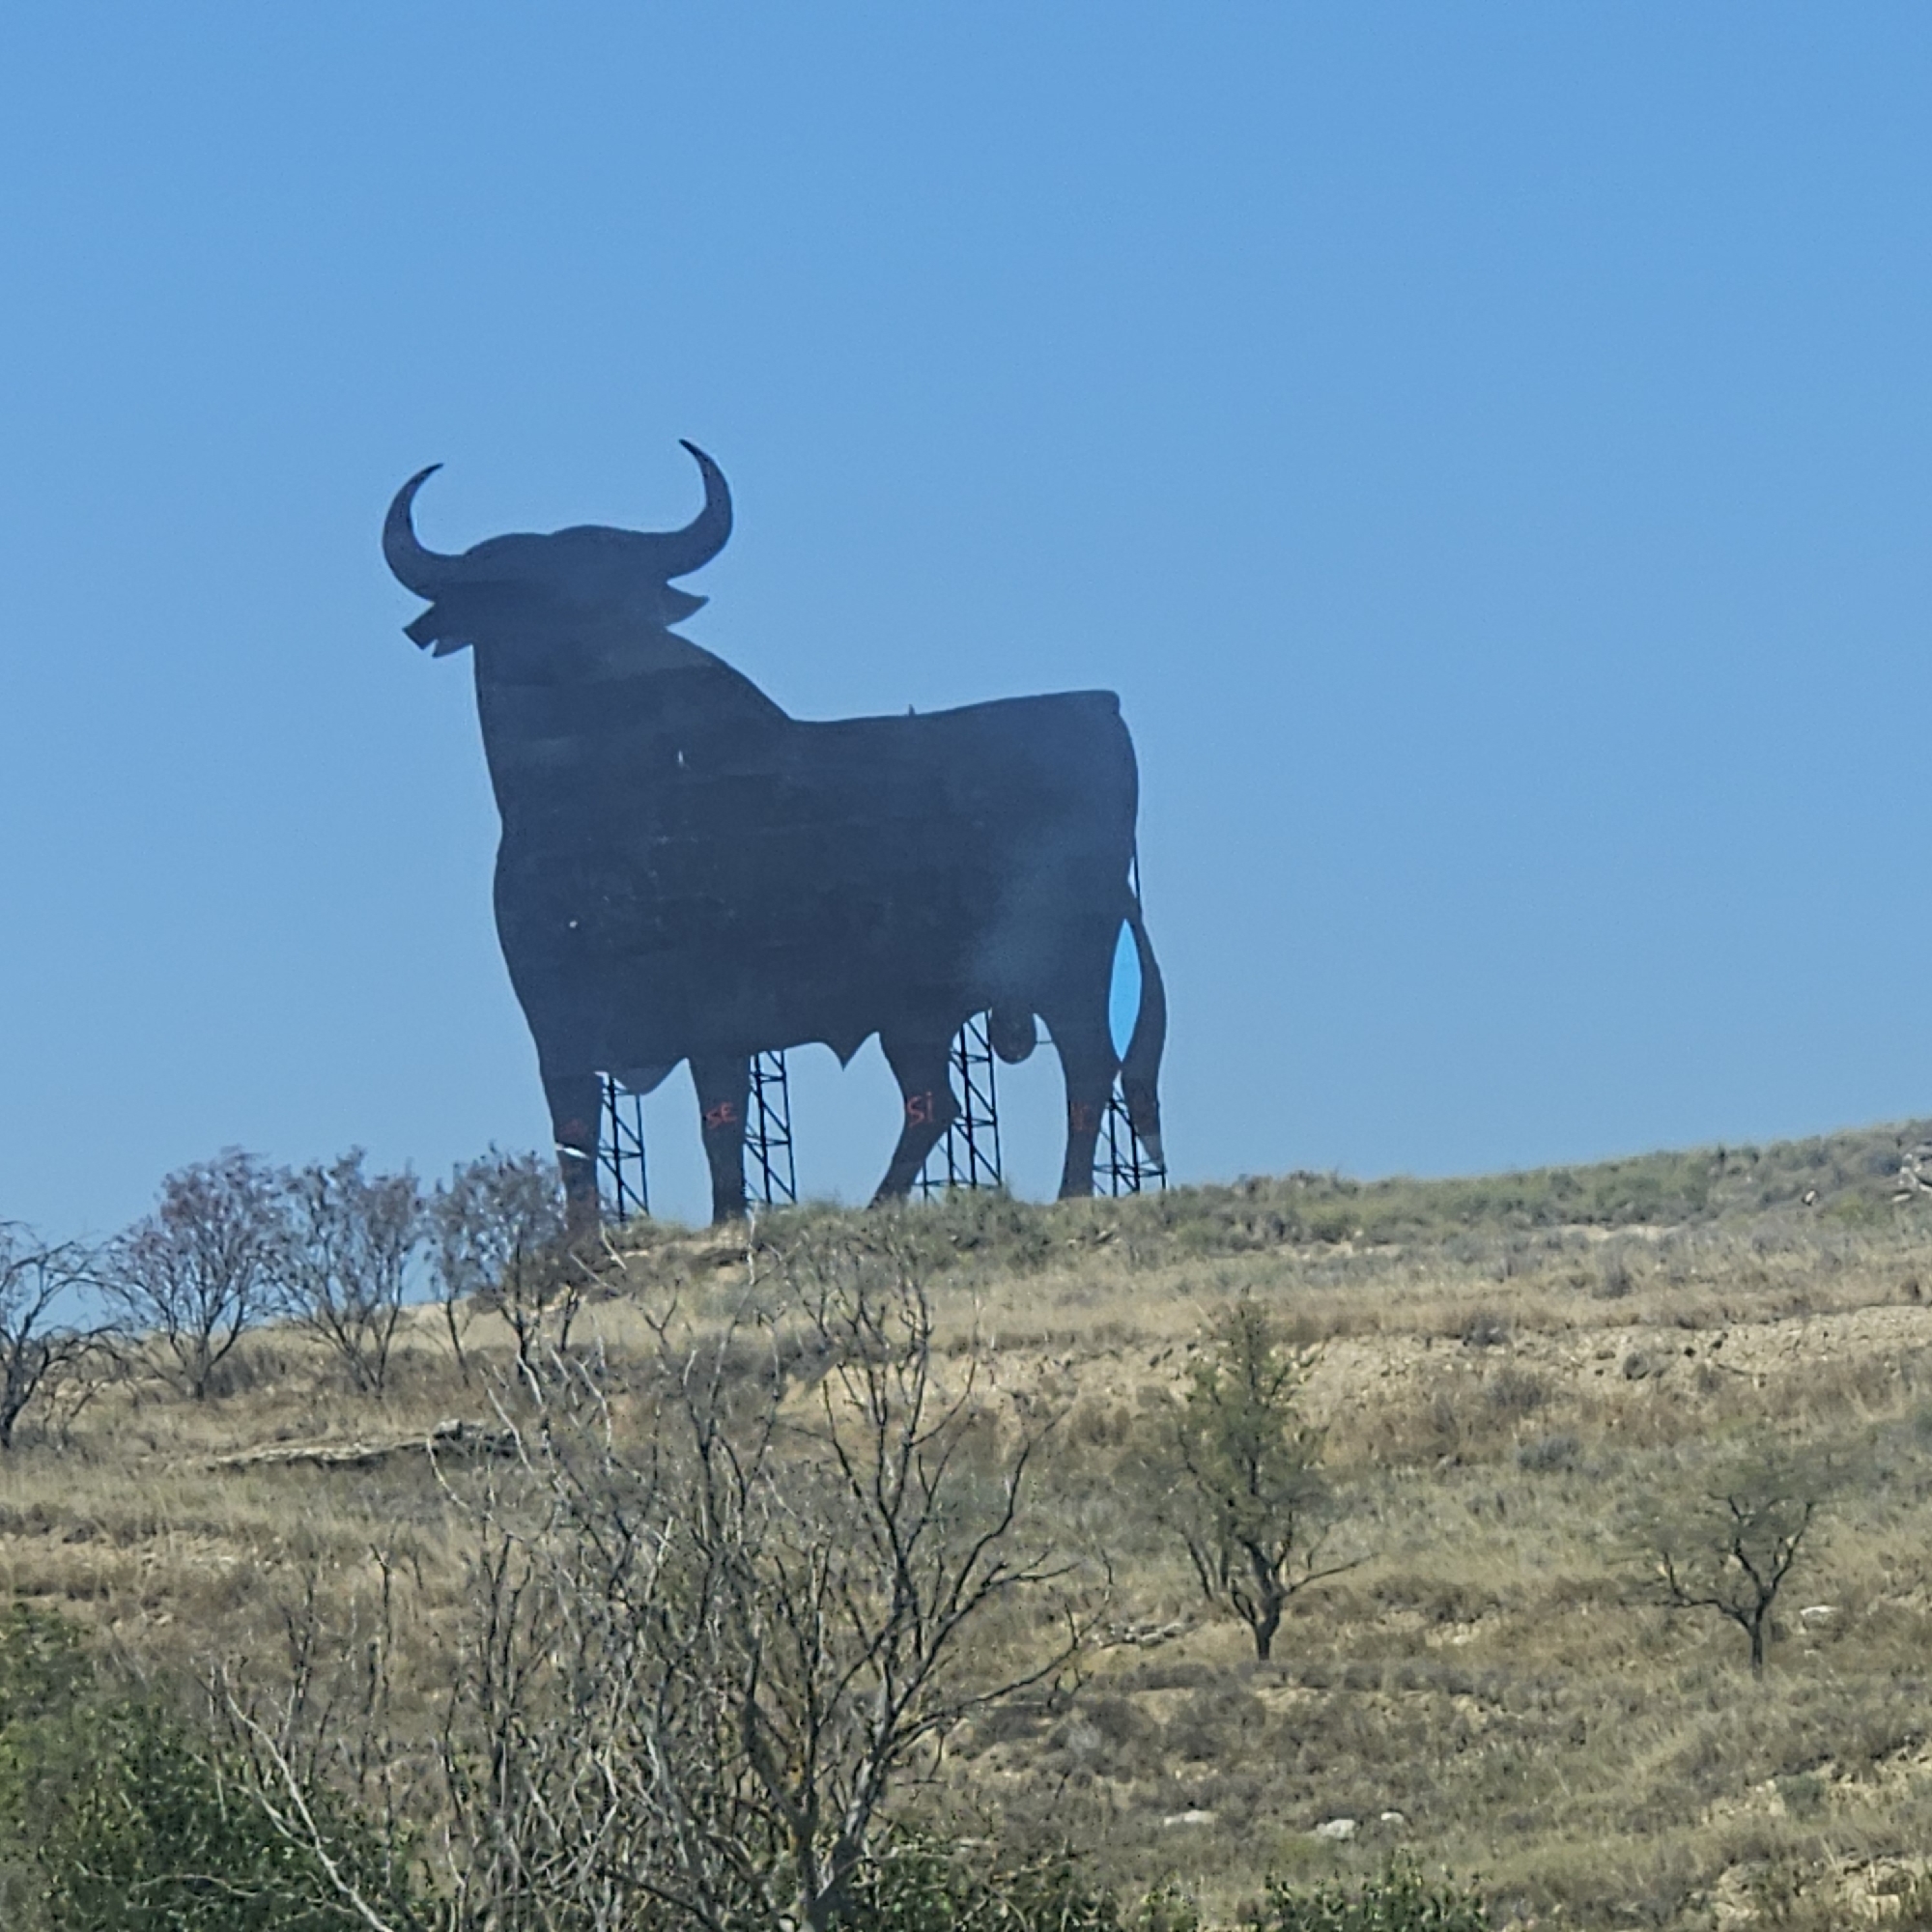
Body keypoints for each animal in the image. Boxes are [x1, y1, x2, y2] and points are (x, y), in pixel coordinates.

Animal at [383, 443, 1166, 1230]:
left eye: (614, 596)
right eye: (509, 600)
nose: (572, 660)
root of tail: (1105, 709)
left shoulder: (716, 1011)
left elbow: (719, 1117)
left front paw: (729, 1218)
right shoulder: (557, 1021)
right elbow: (574, 1131)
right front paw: (580, 1241)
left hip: (1067, 961)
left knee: (1086, 1065)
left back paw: (1069, 1193)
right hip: (920, 1010)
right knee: (935, 1100)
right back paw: (884, 1203)